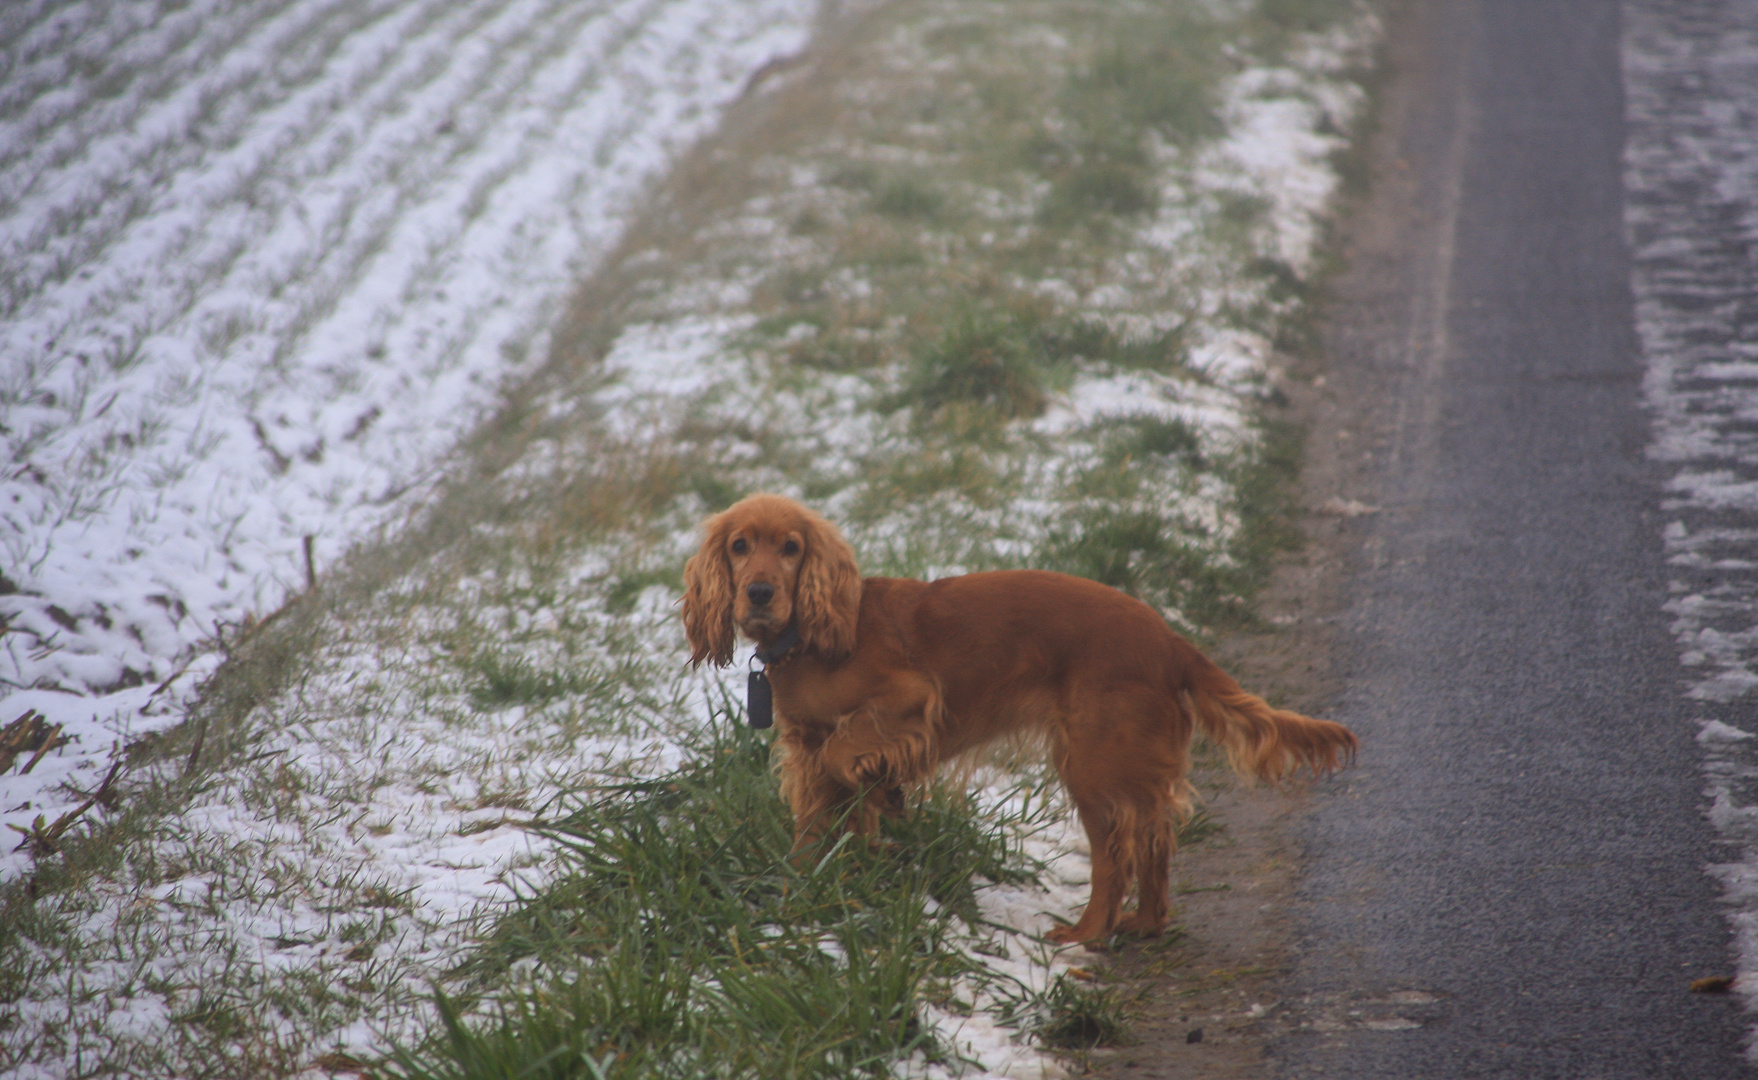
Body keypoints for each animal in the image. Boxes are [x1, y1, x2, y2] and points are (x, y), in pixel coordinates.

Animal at [678, 496, 1350, 942]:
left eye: (791, 548)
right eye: (739, 546)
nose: (759, 592)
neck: (812, 640)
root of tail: (1168, 639)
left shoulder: (909, 697)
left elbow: (850, 757)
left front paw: (885, 792)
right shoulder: (804, 750)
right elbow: (815, 824)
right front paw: (805, 894)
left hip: (1091, 766)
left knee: (1116, 854)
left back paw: (1085, 934)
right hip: (1121, 764)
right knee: (1155, 838)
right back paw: (1144, 923)